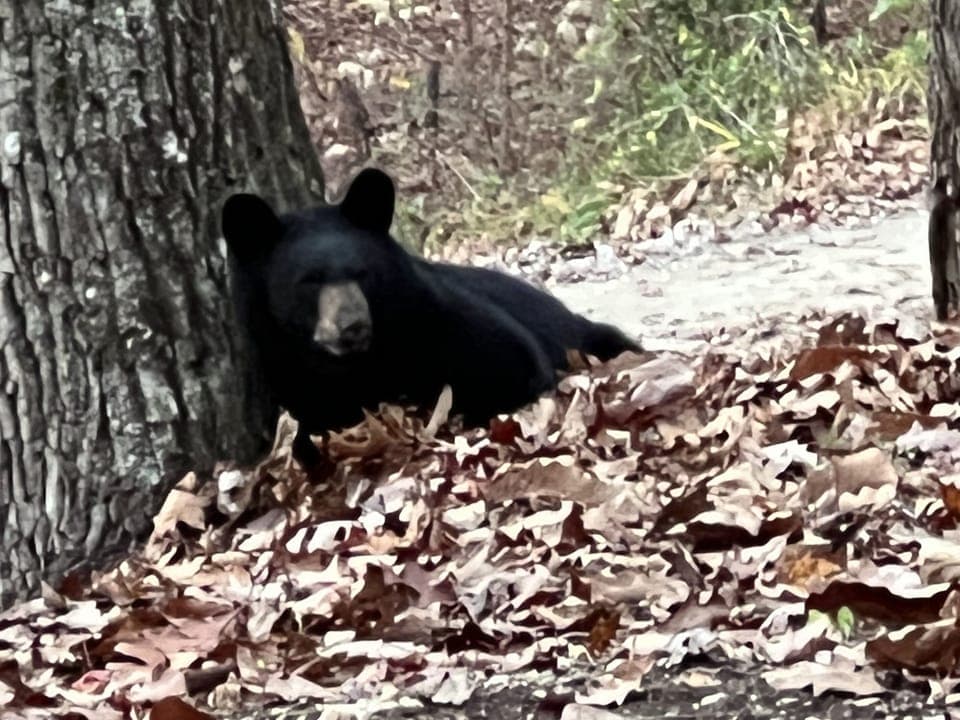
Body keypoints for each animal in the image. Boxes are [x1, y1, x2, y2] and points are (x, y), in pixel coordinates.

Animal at [222, 168, 640, 464]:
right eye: (308, 281)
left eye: (362, 272)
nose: (353, 325)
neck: (360, 366)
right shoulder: (291, 373)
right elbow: (311, 425)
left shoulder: (435, 318)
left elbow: (511, 361)